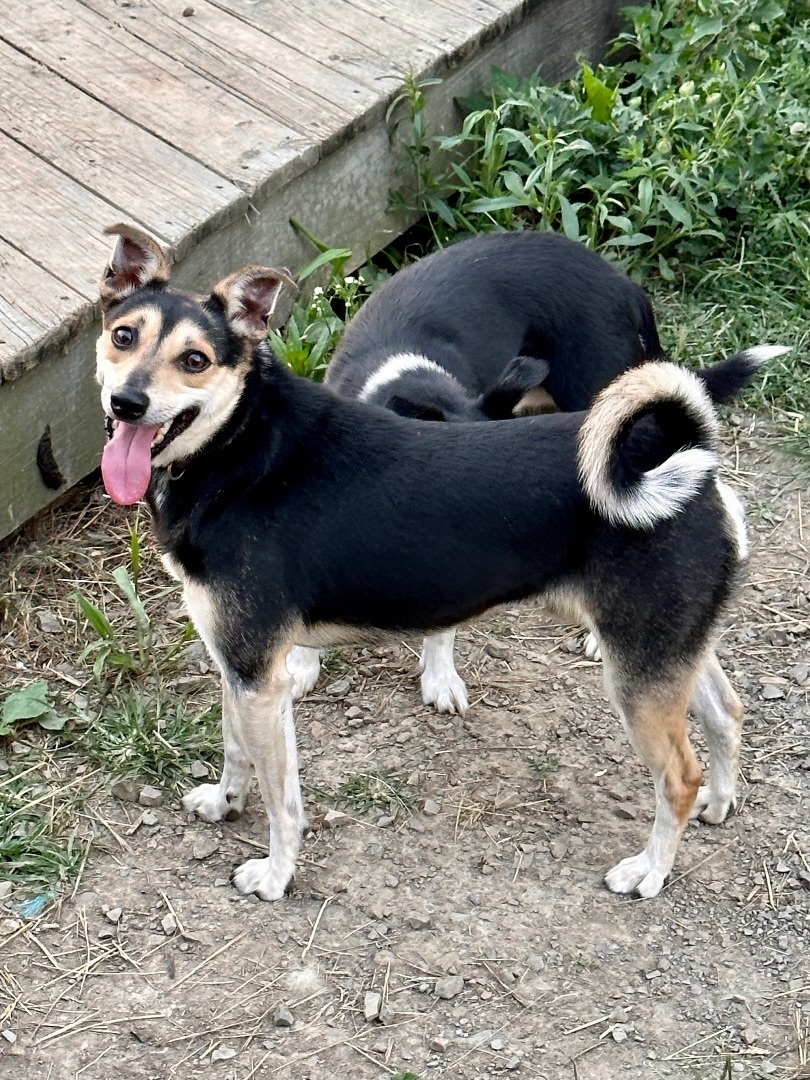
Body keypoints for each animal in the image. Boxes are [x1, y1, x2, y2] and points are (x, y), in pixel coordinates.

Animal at [95, 225, 786, 902]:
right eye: (123, 336)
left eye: (195, 360)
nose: (127, 403)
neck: (236, 446)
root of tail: (688, 461)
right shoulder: (239, 668)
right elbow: (234, 750)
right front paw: (224, 802)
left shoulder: (258, 677)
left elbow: (282, 801)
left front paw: (275, 875)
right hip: (671, 648)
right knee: (726, 713)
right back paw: (720, 801)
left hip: (638, 673)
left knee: (679, 775)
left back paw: (649, 872)